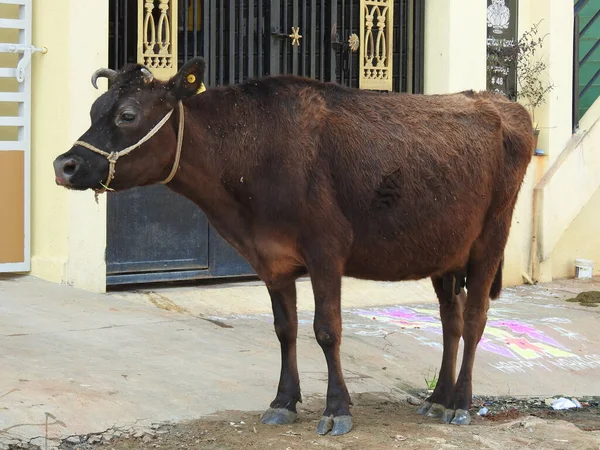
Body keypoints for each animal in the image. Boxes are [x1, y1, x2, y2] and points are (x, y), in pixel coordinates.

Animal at [52, 57, 536, 436]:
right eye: (96, 109)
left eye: (128, 115)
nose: (65, 164)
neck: (251, 151)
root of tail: (500, 103)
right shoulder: (271, 259)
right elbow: (285, 329)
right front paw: (283, 402)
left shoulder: (326, 250)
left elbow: (327, 329)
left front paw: (337, 409)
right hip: (445, 252)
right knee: (451, 320)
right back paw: (438, 397)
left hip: (491, 239)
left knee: (475, 318)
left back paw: (461, 403)